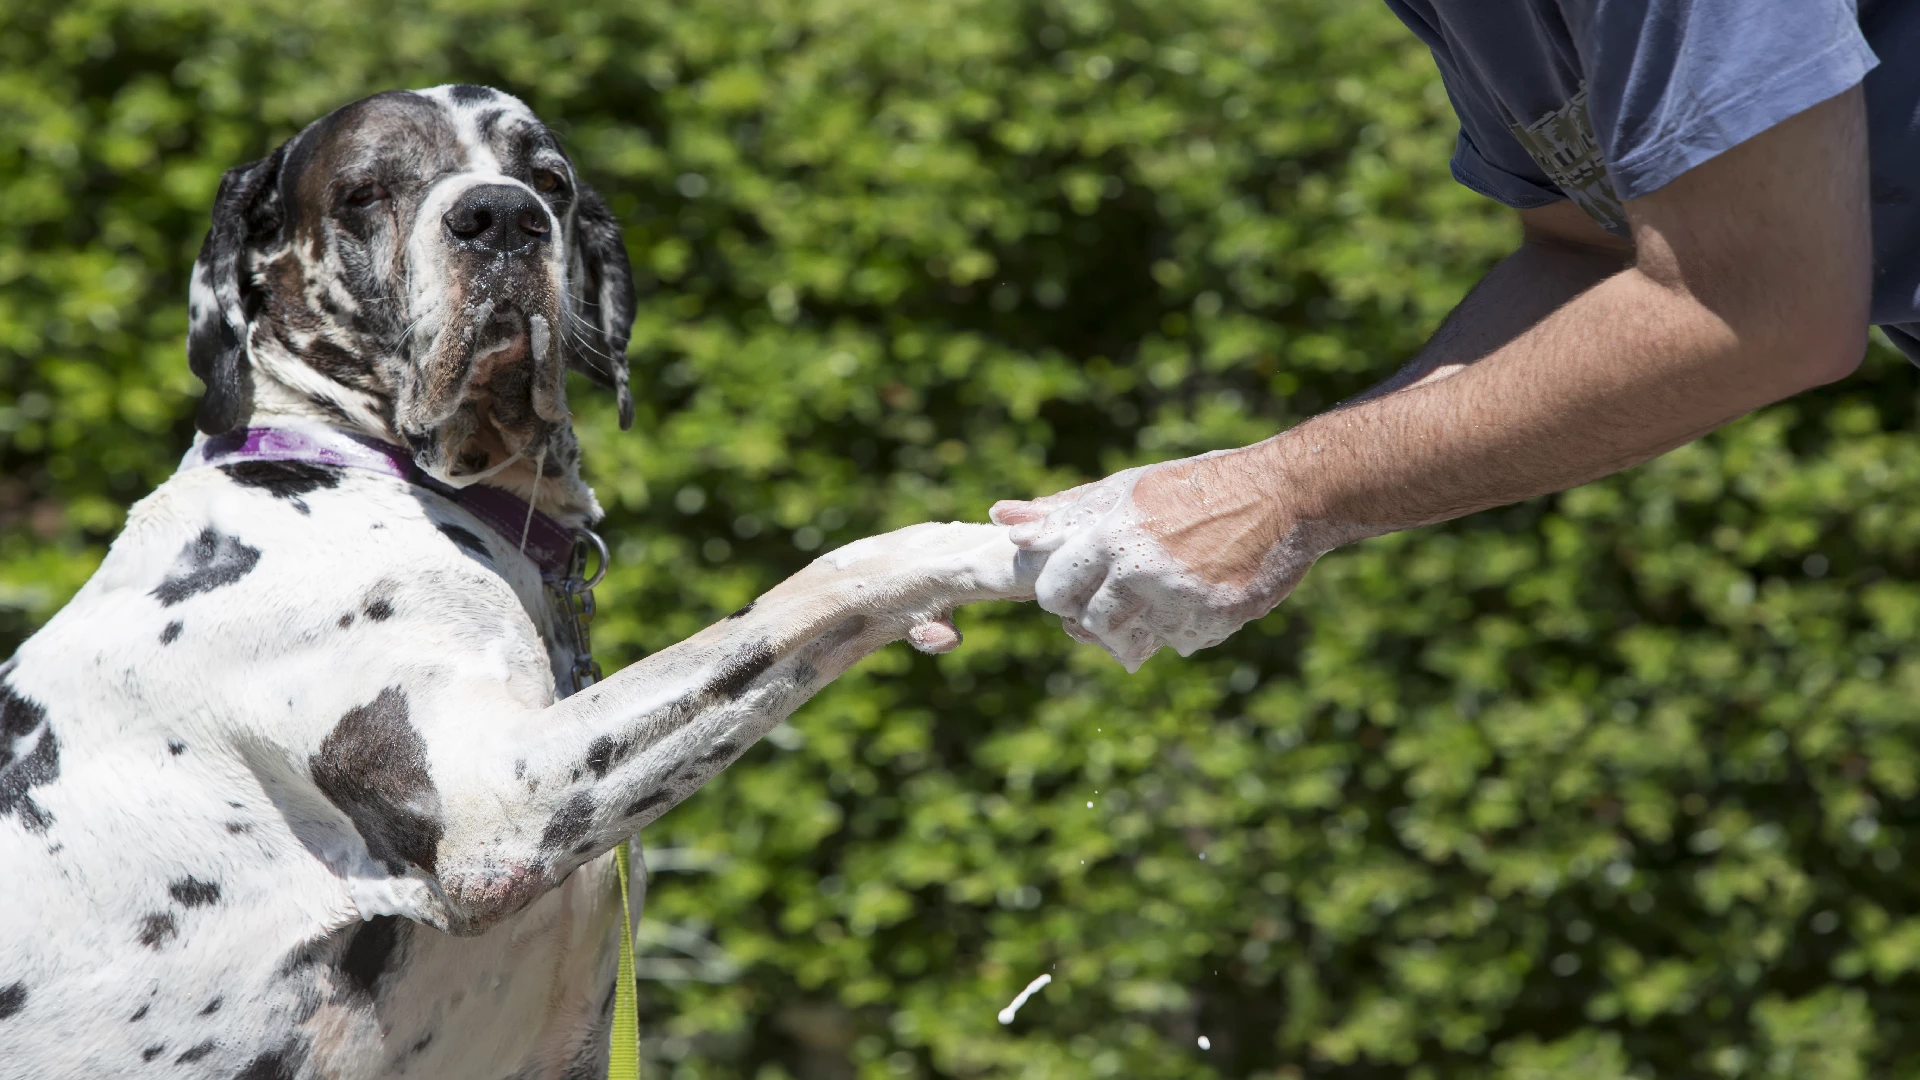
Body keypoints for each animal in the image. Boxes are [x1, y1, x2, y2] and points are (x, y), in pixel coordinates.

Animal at [0, 85, 1036, 1076]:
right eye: (366, 191)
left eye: (549, 178)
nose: (501, 216)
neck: (381, 470)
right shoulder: (492, 805)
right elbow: (813, 589)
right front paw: (977, 551)